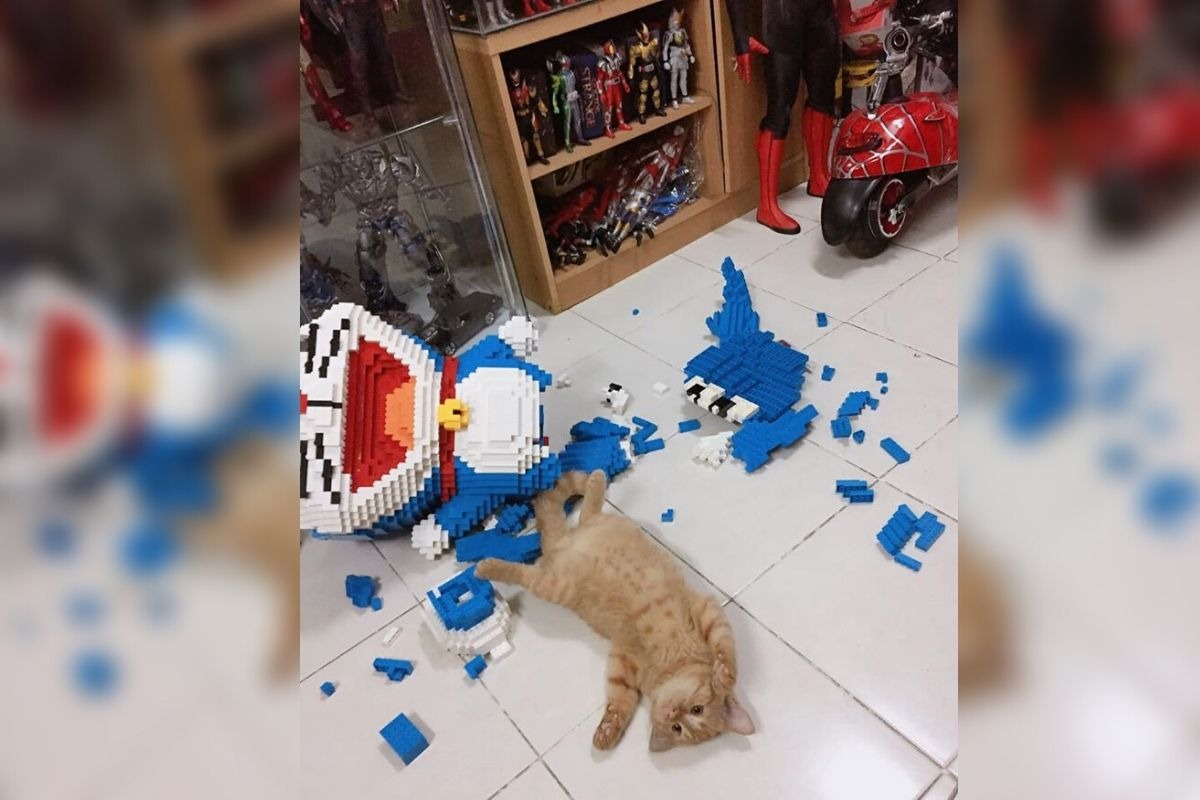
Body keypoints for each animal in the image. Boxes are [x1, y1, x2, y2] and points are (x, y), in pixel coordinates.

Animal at [475, 470, 755, 752]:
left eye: (678, 728)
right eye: (697, 709)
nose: (672, 712)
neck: (667, 664)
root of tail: (562, 544)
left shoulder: (622, 660)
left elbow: (620, 698)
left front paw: (608, 729)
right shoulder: (704, 608)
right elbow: (725, 647)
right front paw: (723, 675)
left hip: (557, 584)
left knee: (538, 562)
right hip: (562, 580)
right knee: (586, 512)